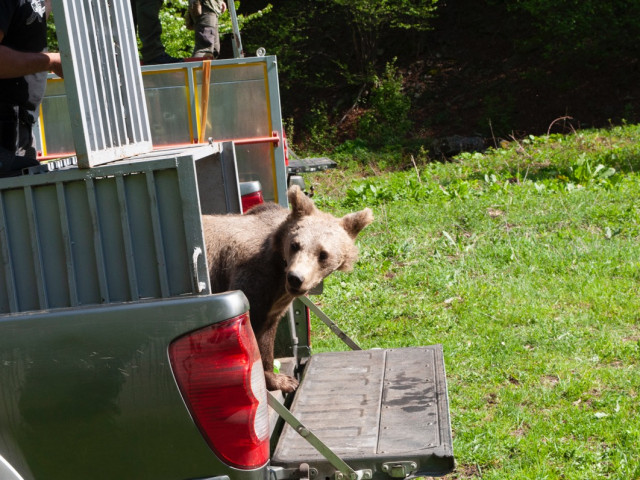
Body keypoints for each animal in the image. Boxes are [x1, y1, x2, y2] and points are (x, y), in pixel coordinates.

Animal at [204, 186, 376, 392]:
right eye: (295, 245)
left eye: (323, 254)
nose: (296, 278)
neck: (279, 265)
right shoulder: (252, 278)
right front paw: (278, 380)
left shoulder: (276, 300)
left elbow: (266, 334)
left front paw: (279, 379)